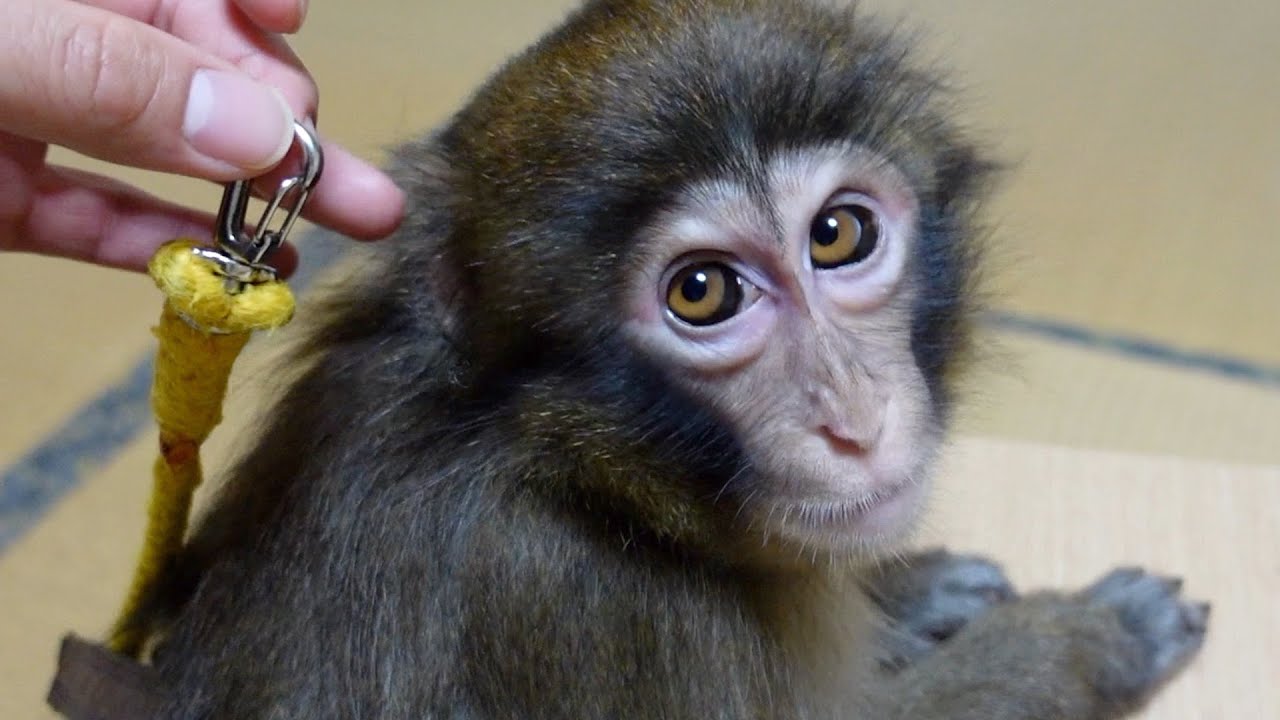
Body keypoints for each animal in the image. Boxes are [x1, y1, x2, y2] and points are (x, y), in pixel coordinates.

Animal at [104, 0, 1209, 718]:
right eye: (702, 293)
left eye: (839, 235)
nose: (855, 419)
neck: (574, 476)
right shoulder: (586, 609)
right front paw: (1084, 640)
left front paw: (902, 593)